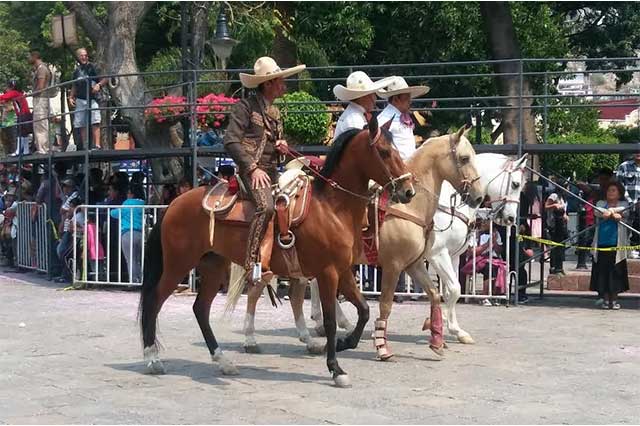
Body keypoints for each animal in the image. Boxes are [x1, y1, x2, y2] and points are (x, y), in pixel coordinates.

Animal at [139, 115, 416, 386]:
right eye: (384, 151)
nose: (408, 191)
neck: (331, 208)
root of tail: (174, 204)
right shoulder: (327, 273)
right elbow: (329, 320)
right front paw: (336, 368)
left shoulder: (344, 270)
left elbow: (364, 310)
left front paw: (345, 342)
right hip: (177, 265)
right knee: (154, 302)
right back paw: (153, 359)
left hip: (213, 266)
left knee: (201, 309)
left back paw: (223, 362)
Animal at [239, 151, 524, 354]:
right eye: (516, 184)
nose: (510, 218)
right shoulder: (436, 255)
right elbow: (452, 289)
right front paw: (447, 329)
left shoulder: (452, 256)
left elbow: (452, 291)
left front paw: (448, 328)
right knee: (259, 289)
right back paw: (253, 337)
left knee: (311, 289)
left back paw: (323, 325)